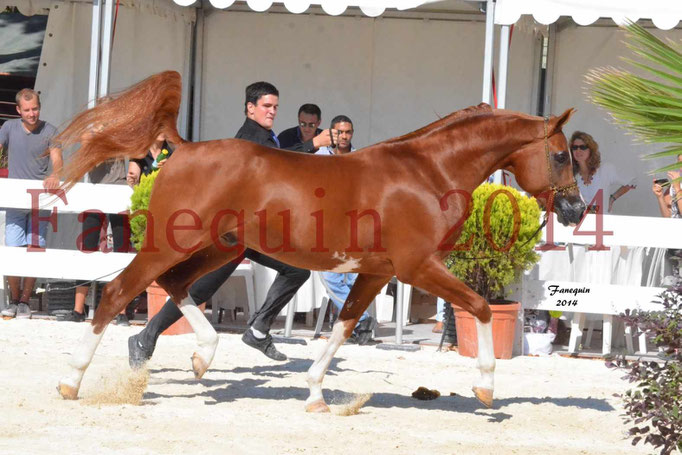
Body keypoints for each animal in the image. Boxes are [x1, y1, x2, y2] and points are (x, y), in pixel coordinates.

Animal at [54, 72, 584, 414]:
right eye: (561, 156)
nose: (576, 210)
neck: (426, 172)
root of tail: (181, 148)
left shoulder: (377, 272)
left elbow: (343, 328)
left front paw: (313, 395)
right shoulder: (417, 267)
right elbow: (479, 308)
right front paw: (487, 390)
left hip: (219, 248)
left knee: (176, 285)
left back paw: (202, 356)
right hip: (172, 244)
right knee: (120, 292)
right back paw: (71, 381)